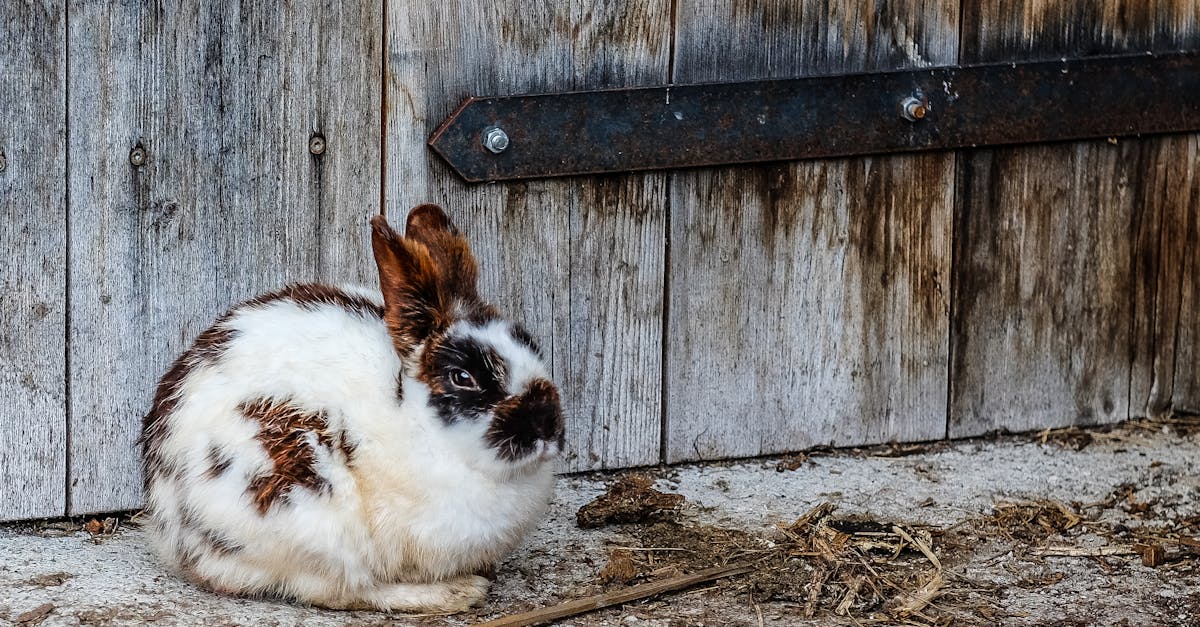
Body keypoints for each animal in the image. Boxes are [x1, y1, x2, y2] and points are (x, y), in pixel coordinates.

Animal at [139, 204, 565, 613]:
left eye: (532, 346)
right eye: (463, 377)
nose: (546, 425)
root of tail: (171, 528)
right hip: (308, 508)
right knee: (342, 590)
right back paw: (455, 593)